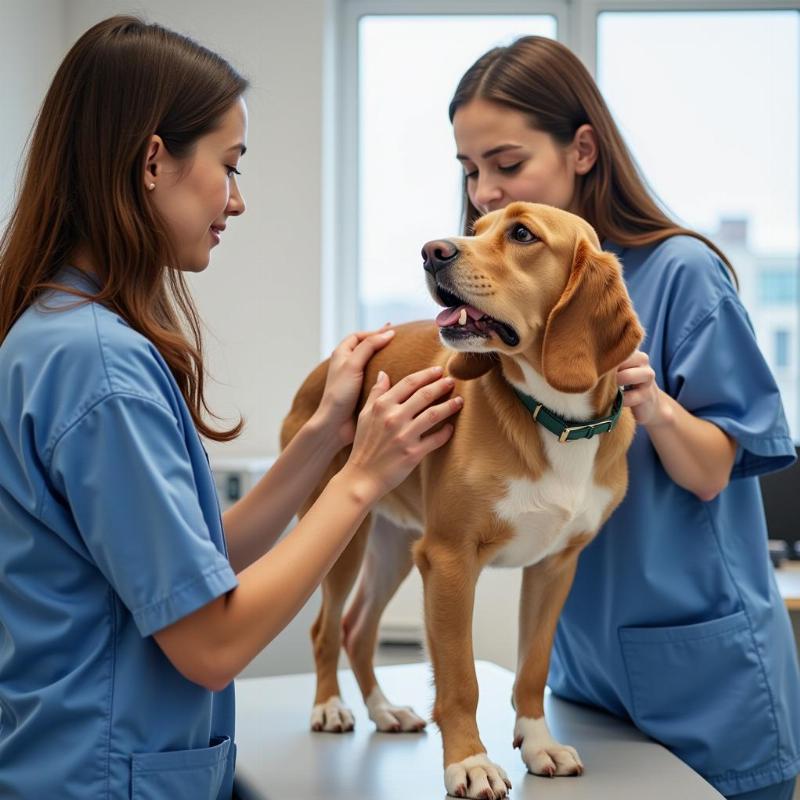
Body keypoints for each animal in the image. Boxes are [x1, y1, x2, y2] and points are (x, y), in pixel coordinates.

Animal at [282, 203, 644, 796]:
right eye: (476, 229)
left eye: (521, 233)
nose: (432, 251)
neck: (555, 420)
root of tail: (326, 366)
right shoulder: (450, 560)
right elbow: (460, 680)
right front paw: (469, 762)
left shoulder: (554, 568)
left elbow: (532, 670)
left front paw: (538, 744)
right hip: (341, 537)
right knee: (326, 628)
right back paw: (330, 707)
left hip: (395, 545)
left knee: (359, 627)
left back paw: (383, 710)